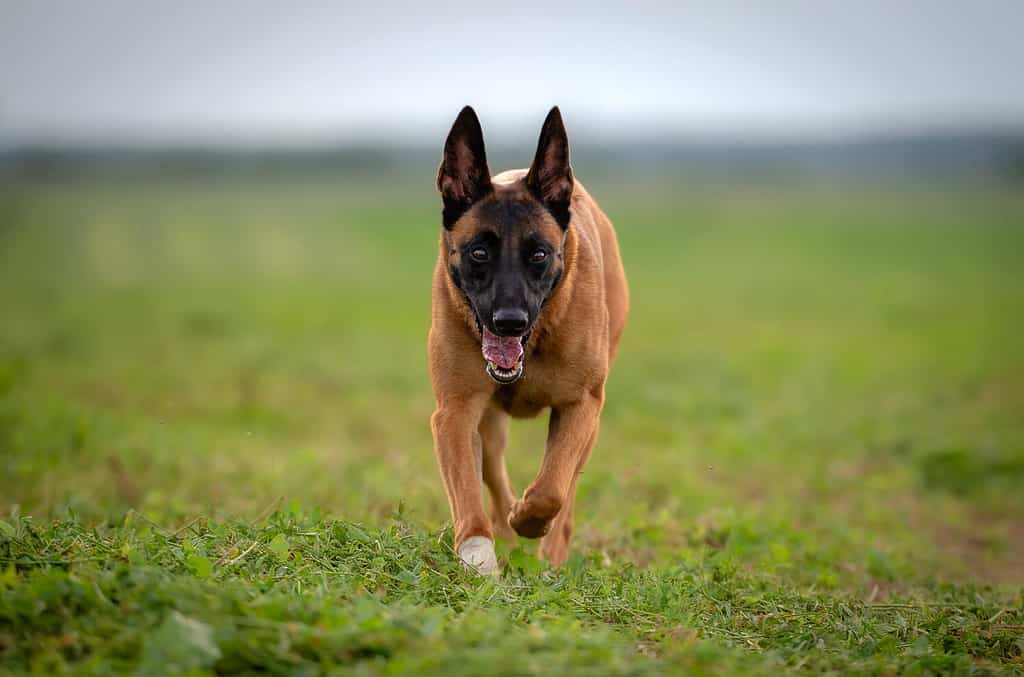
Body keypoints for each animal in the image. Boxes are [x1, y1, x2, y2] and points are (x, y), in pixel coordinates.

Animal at [428, 104, 626, 569]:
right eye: (479, 252)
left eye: (538, 254)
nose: (509, 321)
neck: (533, 346)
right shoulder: (454, 411)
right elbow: (468, 492)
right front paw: (479, 552)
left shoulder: (581, 405)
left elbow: (553, 488)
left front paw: (530, 521)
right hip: (488, 422)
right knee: (492, 470)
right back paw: (504, 526)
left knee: (566, 490)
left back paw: (548, 551)